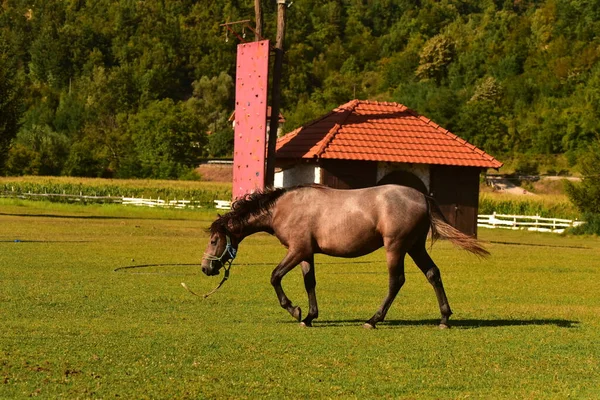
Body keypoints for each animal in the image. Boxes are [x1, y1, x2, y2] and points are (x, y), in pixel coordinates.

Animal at [202, 184, 488, 328]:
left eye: (214, 240)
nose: (206, 268)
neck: (283, 208)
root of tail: (422, 196)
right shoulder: (306, 253)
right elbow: (310, 283)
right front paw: (309, 317)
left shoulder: (296, 250)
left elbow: (274, 277)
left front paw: (295, 310)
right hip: (415, 247)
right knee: (433, 274)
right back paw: (444, 318)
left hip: (396, 247)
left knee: (396, 281)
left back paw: (373, 320)